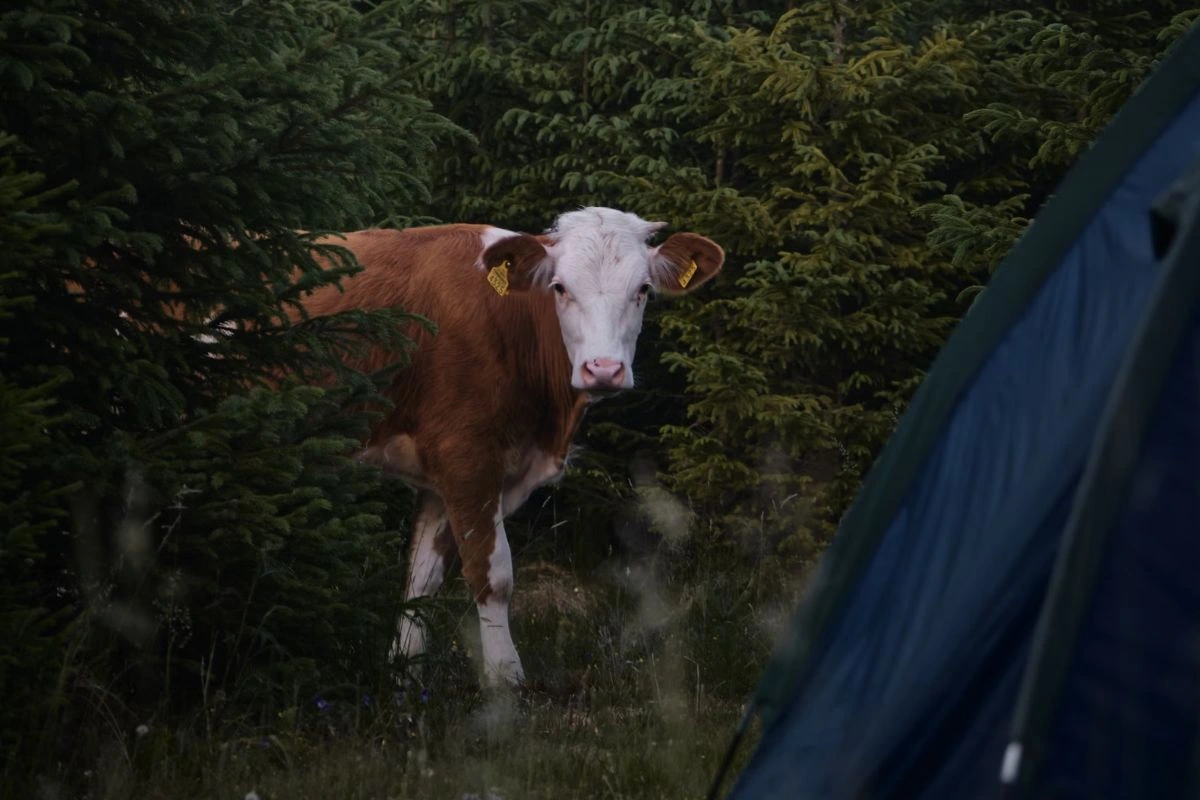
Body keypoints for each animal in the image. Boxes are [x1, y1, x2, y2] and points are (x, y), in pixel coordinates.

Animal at [294, 207, 724, 689]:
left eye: (644, 290)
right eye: (560, 287)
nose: (603, 369)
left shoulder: (442, 475)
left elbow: (422, 578)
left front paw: (404, 674)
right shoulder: (465, 454)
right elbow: (492, 572)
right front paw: (505, 677)